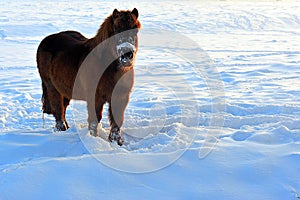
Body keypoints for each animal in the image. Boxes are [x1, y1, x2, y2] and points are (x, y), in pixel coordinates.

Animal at [36, 8, 142, 145]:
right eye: (116, 28)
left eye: (135, 29)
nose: (127, 55)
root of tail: (46, 40)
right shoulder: (94, 98)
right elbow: (94, 120)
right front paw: (94, 139)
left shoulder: (120, 97)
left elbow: (117, 120)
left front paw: (116, 142)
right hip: (52, 88)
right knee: (58, 110)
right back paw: (62, 130)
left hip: (64, 91)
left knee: (63, 109)